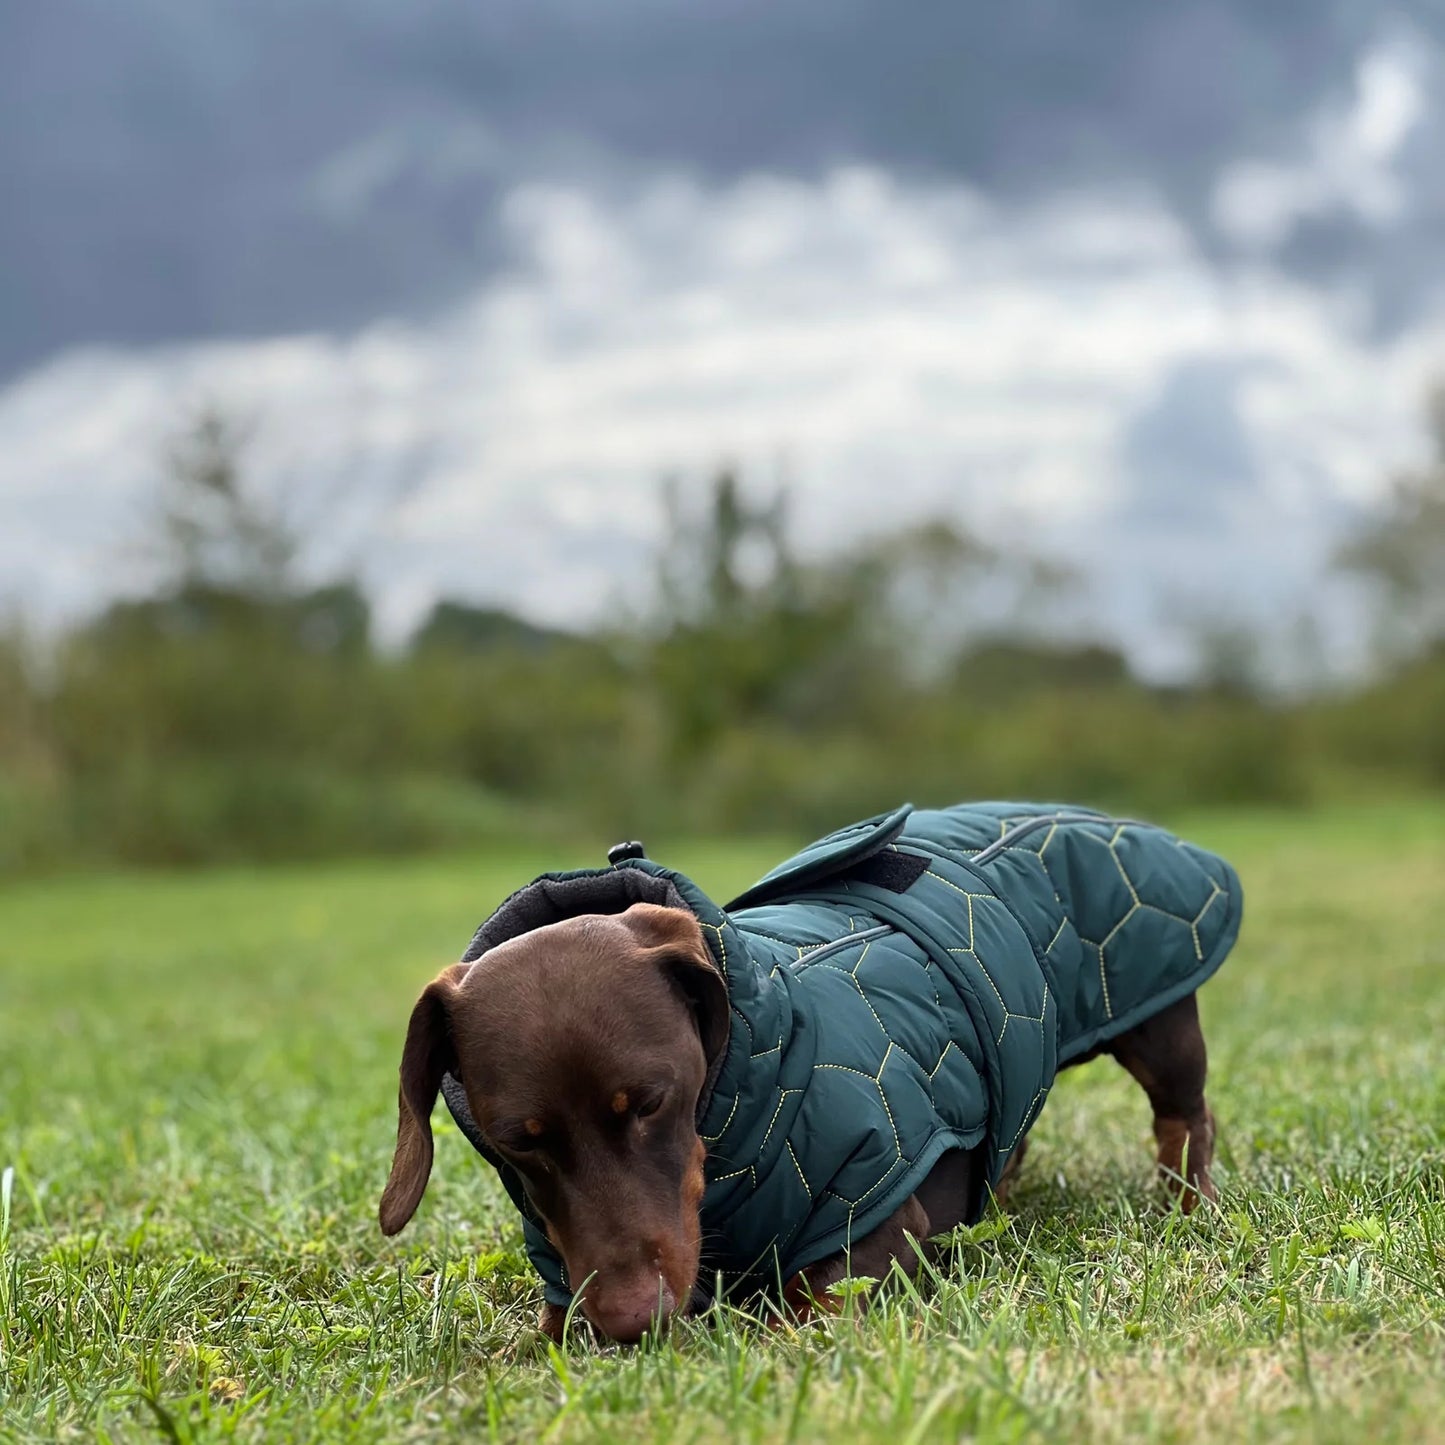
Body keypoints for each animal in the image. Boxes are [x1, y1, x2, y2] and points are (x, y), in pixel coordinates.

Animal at [378, 803, 1236, 1340]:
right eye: (516, 1141)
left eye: (650, 1101)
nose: (630, 1322)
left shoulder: (876, 1227)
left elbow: (805, 1309)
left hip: (1160, 1026)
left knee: (1185, 1115)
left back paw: (1186, 1202)